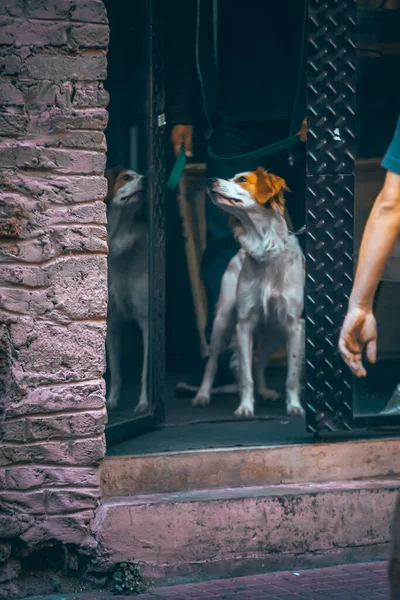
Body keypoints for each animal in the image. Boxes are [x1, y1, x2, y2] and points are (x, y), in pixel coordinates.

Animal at [192, 164, 304, 418]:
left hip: (275, 330)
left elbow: (292, 375)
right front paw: (245, 407)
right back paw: (202, 395)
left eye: (242, 179)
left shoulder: (293, 324)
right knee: (212, 364)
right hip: (222, 322)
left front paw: (295, 406)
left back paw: (265, 392)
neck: (265, 247)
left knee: (259, 360)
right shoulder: (243, 324)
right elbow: (245, 375)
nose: (210, 179)